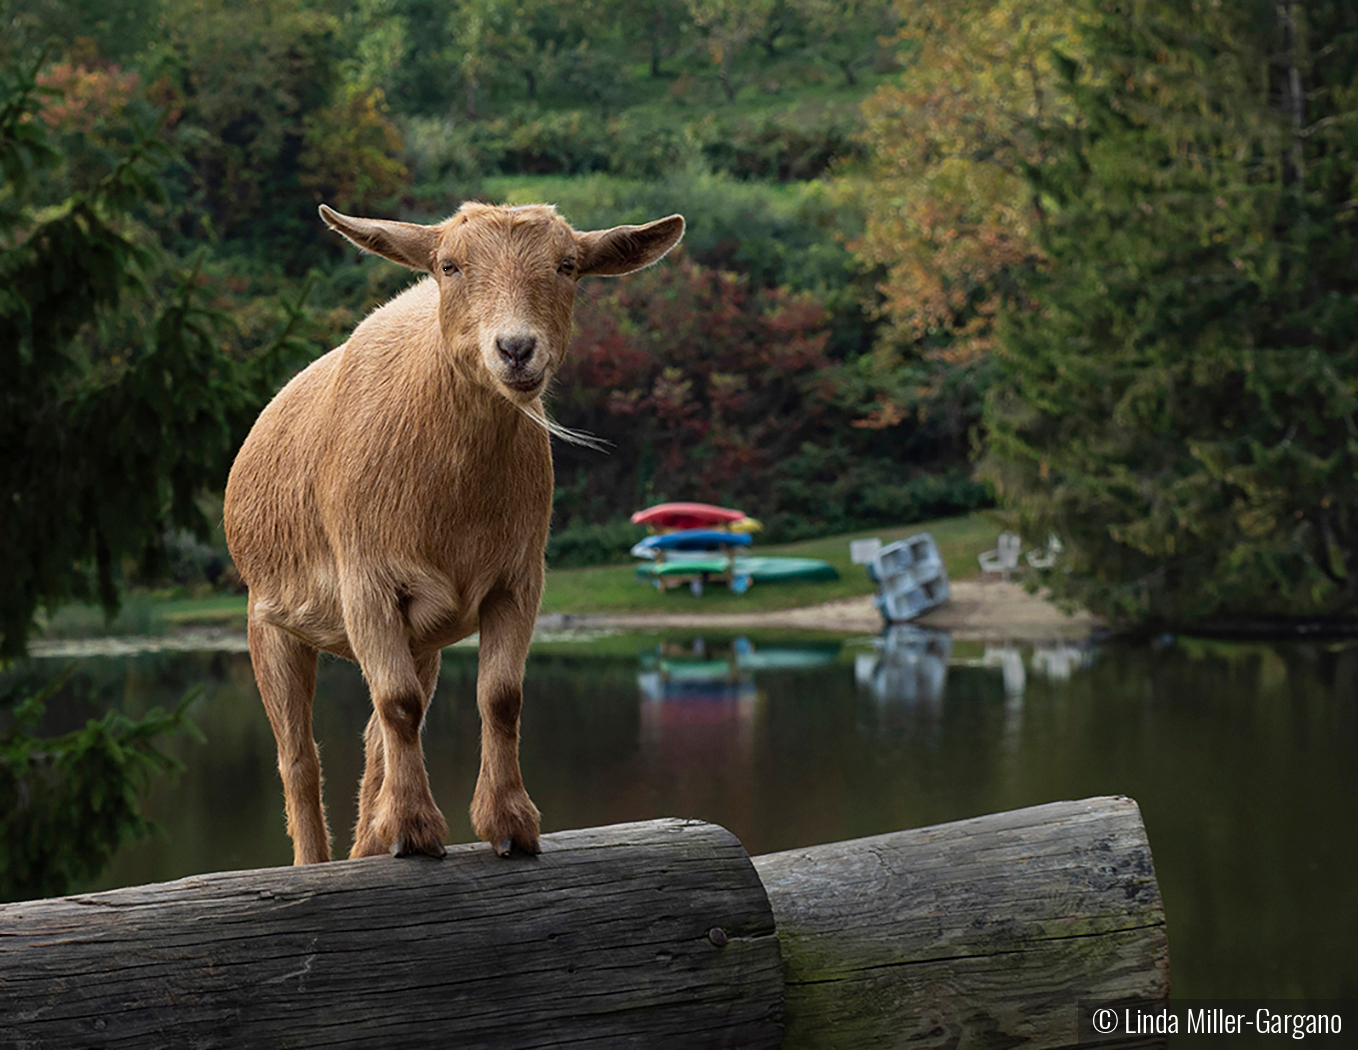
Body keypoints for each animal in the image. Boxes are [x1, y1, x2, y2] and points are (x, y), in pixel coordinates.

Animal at [226, 201, 684, 863]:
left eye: (568, 266)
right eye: (450, 265)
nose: (516, 349)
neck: (452, 509)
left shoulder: (517, 580)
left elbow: (499, 697)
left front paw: (510, 823)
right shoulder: (366, 582)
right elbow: (397, 703)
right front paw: (417, 830)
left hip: (421, 640)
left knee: (373, 734)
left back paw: (370, 842)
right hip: (269, 620)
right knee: (299, 755)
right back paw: (318, 859)